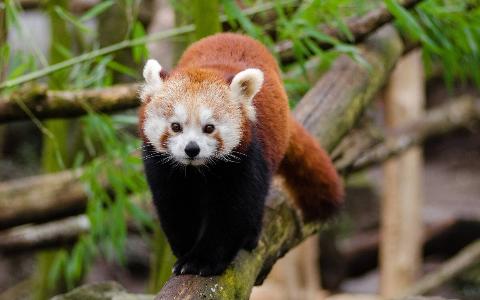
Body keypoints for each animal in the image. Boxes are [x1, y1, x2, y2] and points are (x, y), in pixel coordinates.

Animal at [137, 32, 344, 276]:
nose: (192, 149)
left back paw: (251, 237)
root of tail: (234, 34)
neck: (198, 170)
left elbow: (234, 212)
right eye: (176, 126)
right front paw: (185, 249)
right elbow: (175, 205)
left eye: (209, 127)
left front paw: (202, 260)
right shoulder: (163, 168)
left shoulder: (246, 159)